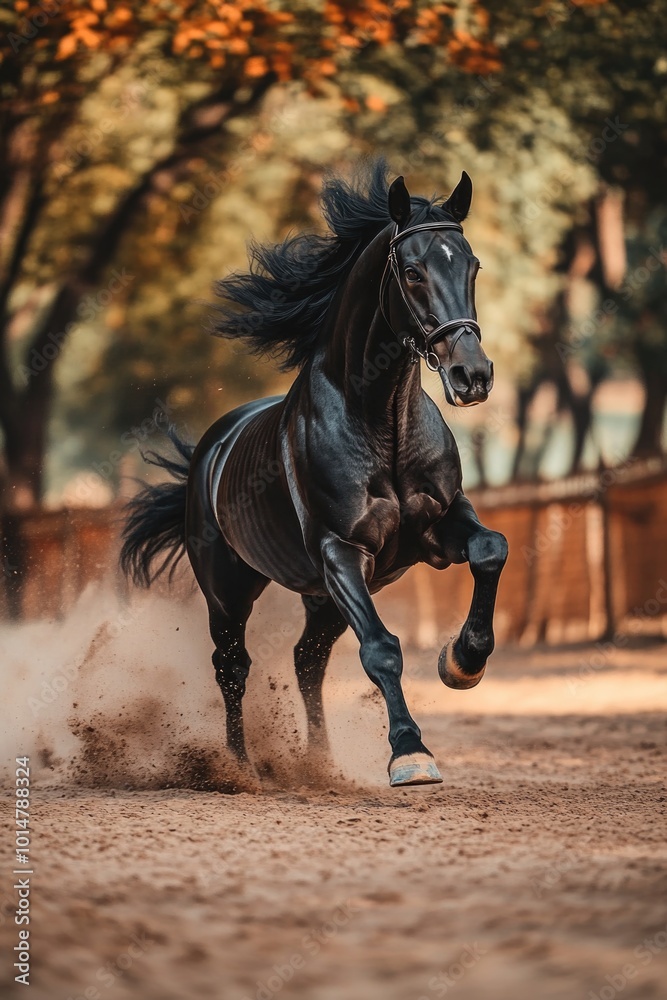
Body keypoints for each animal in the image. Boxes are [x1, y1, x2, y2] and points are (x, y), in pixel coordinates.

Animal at [121, 162, 506, 788]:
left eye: (471, 265)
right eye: (413, 271)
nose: (471, 375)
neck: (380, 424)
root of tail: (209, 452)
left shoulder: (439, 527)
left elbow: (491, 549)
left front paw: (462, 662)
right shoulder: (339, 551)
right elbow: (381, 649)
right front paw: (410, 755)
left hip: (321, 600)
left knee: (307, 661)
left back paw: (319, 763)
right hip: (230, 591)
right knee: (233, 666)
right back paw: (239, 768)